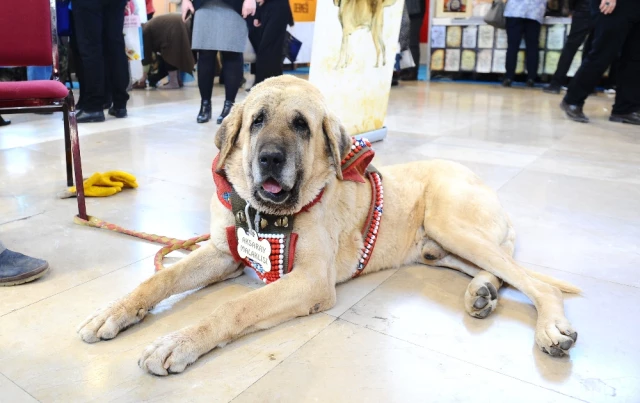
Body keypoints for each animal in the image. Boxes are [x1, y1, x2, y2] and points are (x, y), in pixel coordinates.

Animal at [77, 75, 576, 376]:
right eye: (257, 120)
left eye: (301, 126)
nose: (269, 159)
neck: (264, 213)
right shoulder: (221, 253)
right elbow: (158, 281)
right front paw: (113, 312)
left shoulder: (311, 281)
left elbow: (234, 308)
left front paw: (178, 341)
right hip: (440, 248)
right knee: (503, 273)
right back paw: (482, 292)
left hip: (452, 224)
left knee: (538, 285)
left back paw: (550, 329)